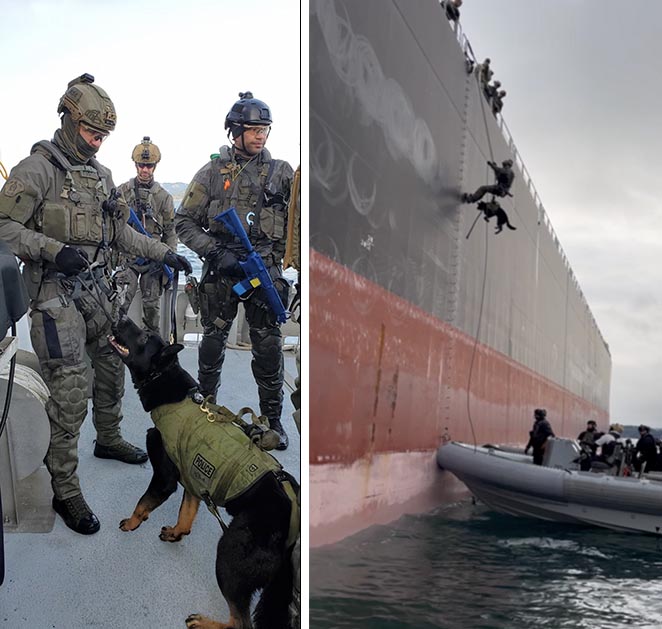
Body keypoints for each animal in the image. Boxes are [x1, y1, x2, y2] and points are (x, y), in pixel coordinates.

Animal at [110, 316, 296, 624]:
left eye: (145, 336)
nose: (122, 315)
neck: (168, 384)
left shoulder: (164, 479)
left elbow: (143, 502)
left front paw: (132, 523)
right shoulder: (193, 481)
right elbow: (186, 514)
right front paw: (176, 532)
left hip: (228, 556)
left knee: (240, 622)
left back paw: (203, 622)